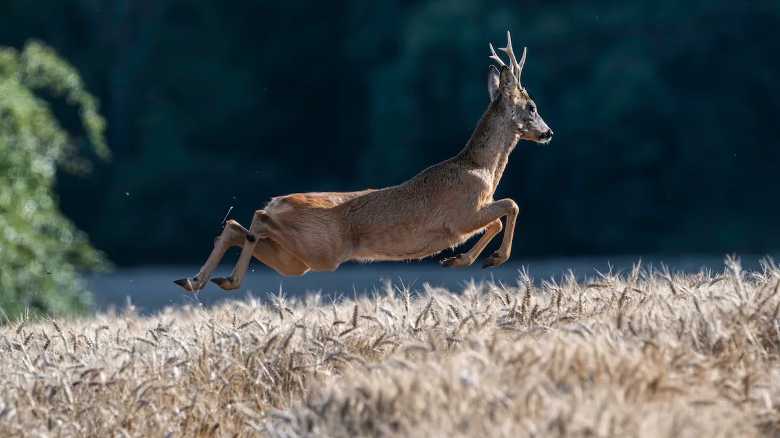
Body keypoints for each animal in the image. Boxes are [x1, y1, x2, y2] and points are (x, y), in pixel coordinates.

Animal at [174, 31, 553, 292]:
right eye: (532, 106)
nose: (548, 132)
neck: (480, 168)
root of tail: (278, 201)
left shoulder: (471, 215)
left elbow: (499, 218)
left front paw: (459, 260)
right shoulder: (462, 215)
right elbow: (510, 207)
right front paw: (488, 259)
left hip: (296, 259)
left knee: (239, 228)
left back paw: (203, 281)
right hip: (317, 249)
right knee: (253, 221)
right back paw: (216, 278)